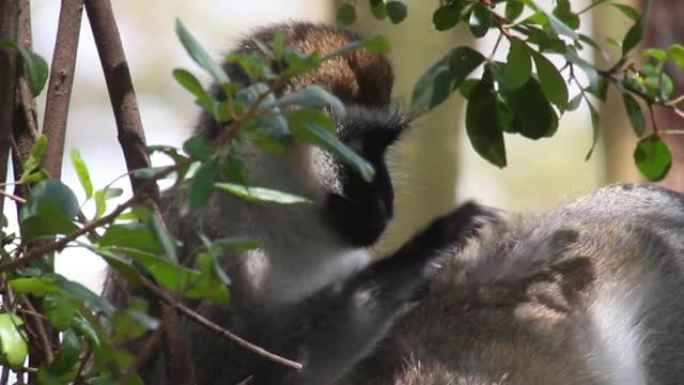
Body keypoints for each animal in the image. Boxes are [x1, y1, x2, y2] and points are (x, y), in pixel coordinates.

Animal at [103, 22, 496, 384]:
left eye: (382, 146)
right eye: (354, 148)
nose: (386, 198)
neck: (273, 216)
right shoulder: (210, 242)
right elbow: (215, 364)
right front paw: (424, 252)